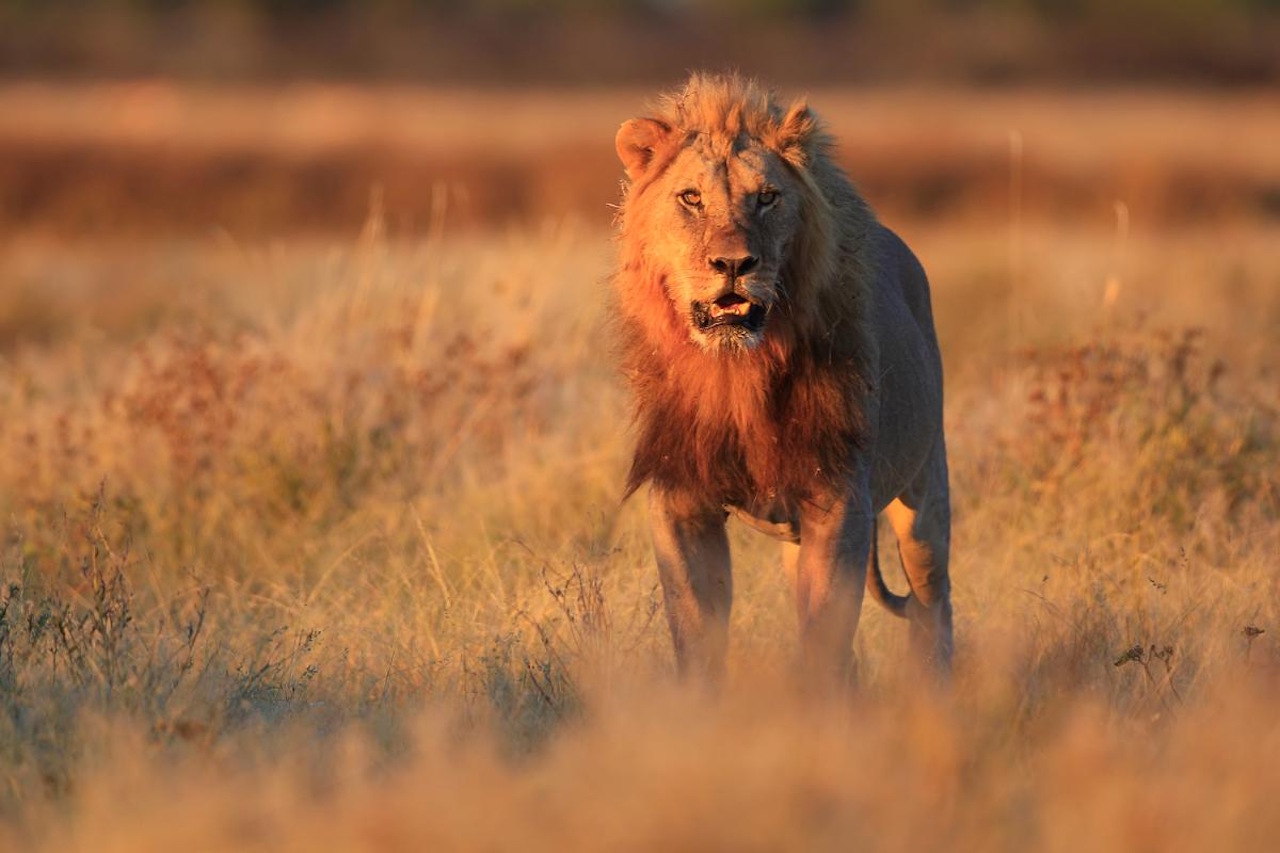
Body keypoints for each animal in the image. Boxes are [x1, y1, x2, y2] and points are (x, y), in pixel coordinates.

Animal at [613, 73, 952, 684]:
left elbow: (825, 639)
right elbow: (696, 632)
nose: (733, 265)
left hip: (924, 497)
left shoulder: (838, 502)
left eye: (767, 197)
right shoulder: (680, 500)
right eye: (691, 198)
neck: (737, 371)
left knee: (934, 606)